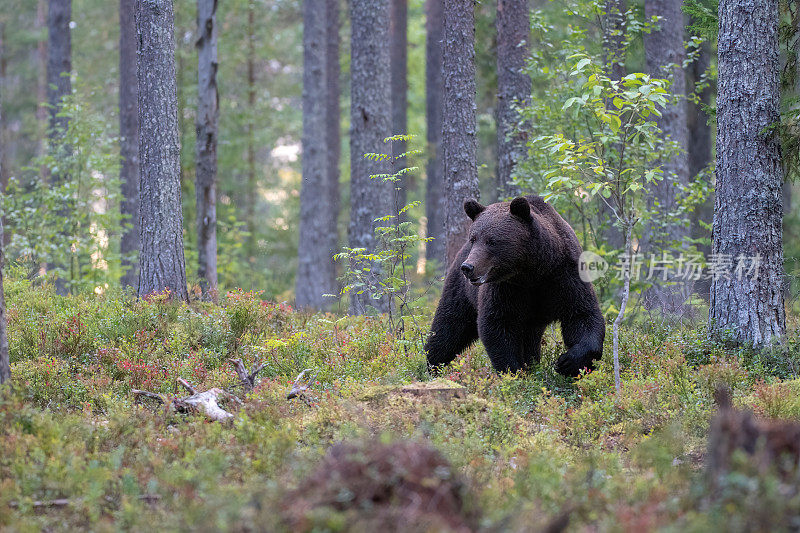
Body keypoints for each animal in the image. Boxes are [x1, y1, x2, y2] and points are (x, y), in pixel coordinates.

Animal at [428, 194, 604, 374]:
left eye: (491, 241)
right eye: (473, 239)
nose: (468, 267)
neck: (532, 272)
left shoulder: (564, 275)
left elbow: (581, 314)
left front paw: (569, 361)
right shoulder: (505, 289)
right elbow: (497, 326)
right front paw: (514, 371)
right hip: (461, 291)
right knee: (449, 328)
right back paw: (432, 365)